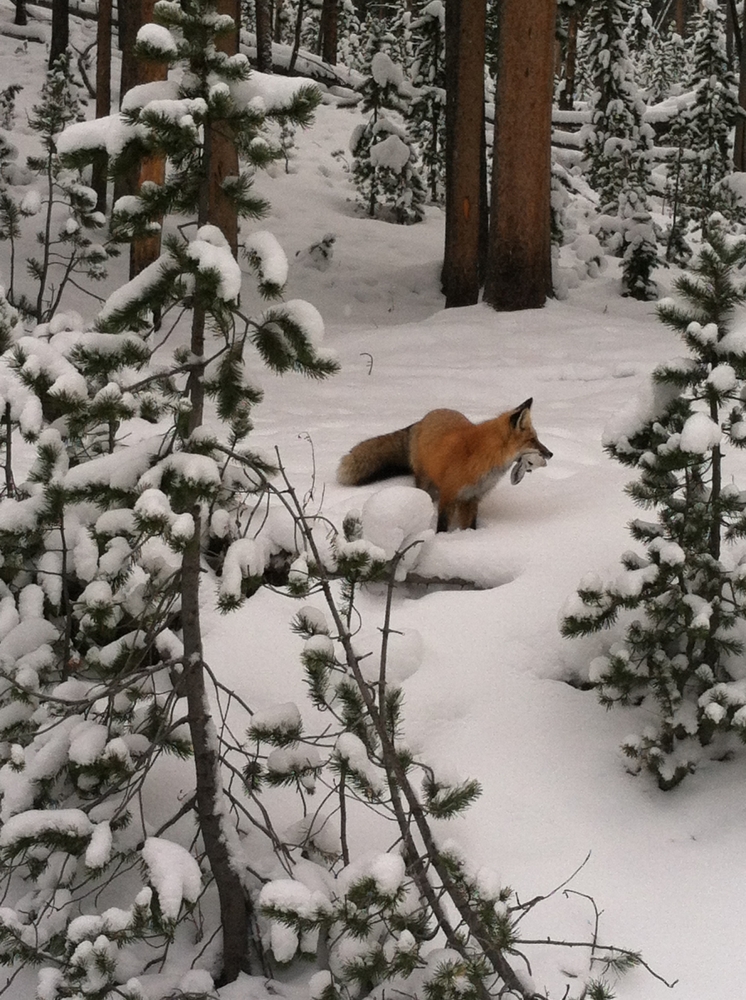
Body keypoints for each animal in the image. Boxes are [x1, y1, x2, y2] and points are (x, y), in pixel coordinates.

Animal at [338, 398, 552, 532]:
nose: (551, 454)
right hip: (425, 481)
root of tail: (423, 419)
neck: (483, 457)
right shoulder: (449, 495)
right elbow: (442, 526)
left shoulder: (472, 498)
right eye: (533, 441)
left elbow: (470, 525)